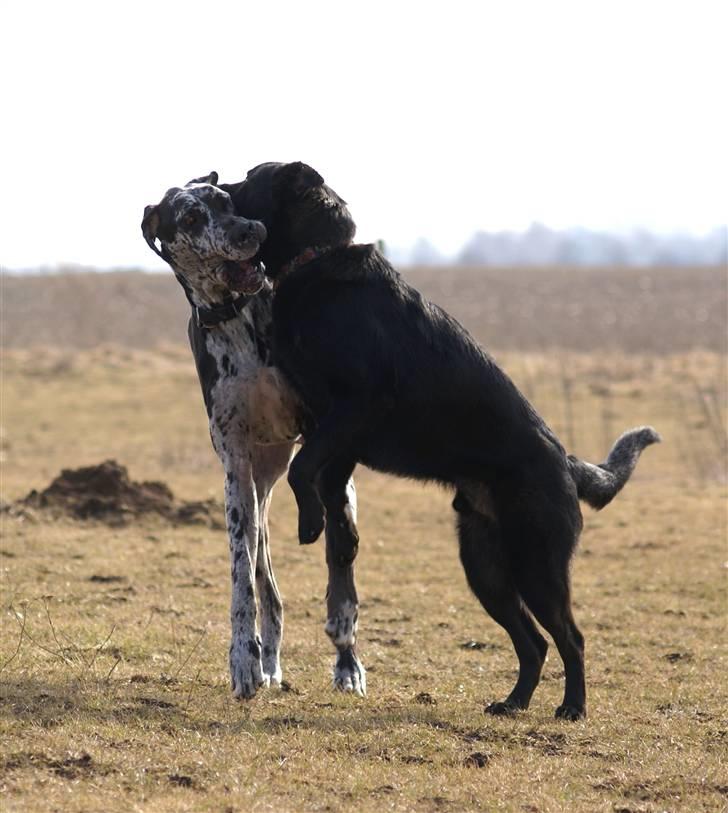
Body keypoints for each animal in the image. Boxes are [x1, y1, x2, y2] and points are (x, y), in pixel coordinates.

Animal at [225, 160, 656, 716]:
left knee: (571, 637)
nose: (212, 184)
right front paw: (334, 527)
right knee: (534, 642)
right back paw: (513, 703)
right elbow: (324, 481)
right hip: (485, 567)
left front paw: (312, 522)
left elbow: (303, 469)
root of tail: (567, 462)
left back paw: (573, 708)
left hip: (536, 564)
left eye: (251, 177)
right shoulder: (329, 425)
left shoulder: (357, 405)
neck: (316, 260)